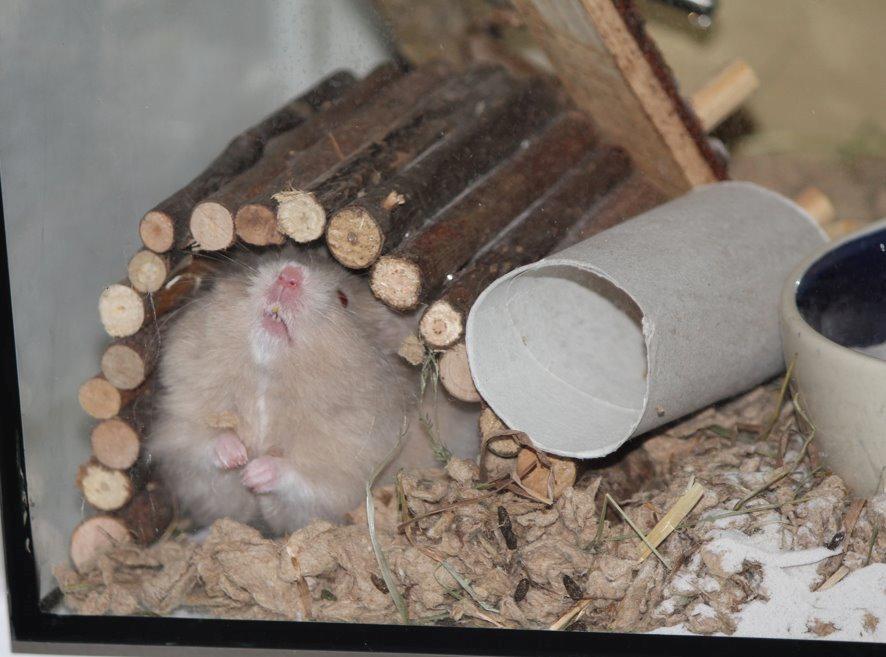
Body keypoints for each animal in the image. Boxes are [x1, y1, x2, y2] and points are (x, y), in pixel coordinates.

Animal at [148, 247, 478, 535]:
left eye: (343, 299)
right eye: (265, 262)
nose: (289, 275)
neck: (268, 378)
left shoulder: (347, 473)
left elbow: (302, 478)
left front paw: (253, 473)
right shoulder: (177, 428)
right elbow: (202, 440)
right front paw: (237, 457)